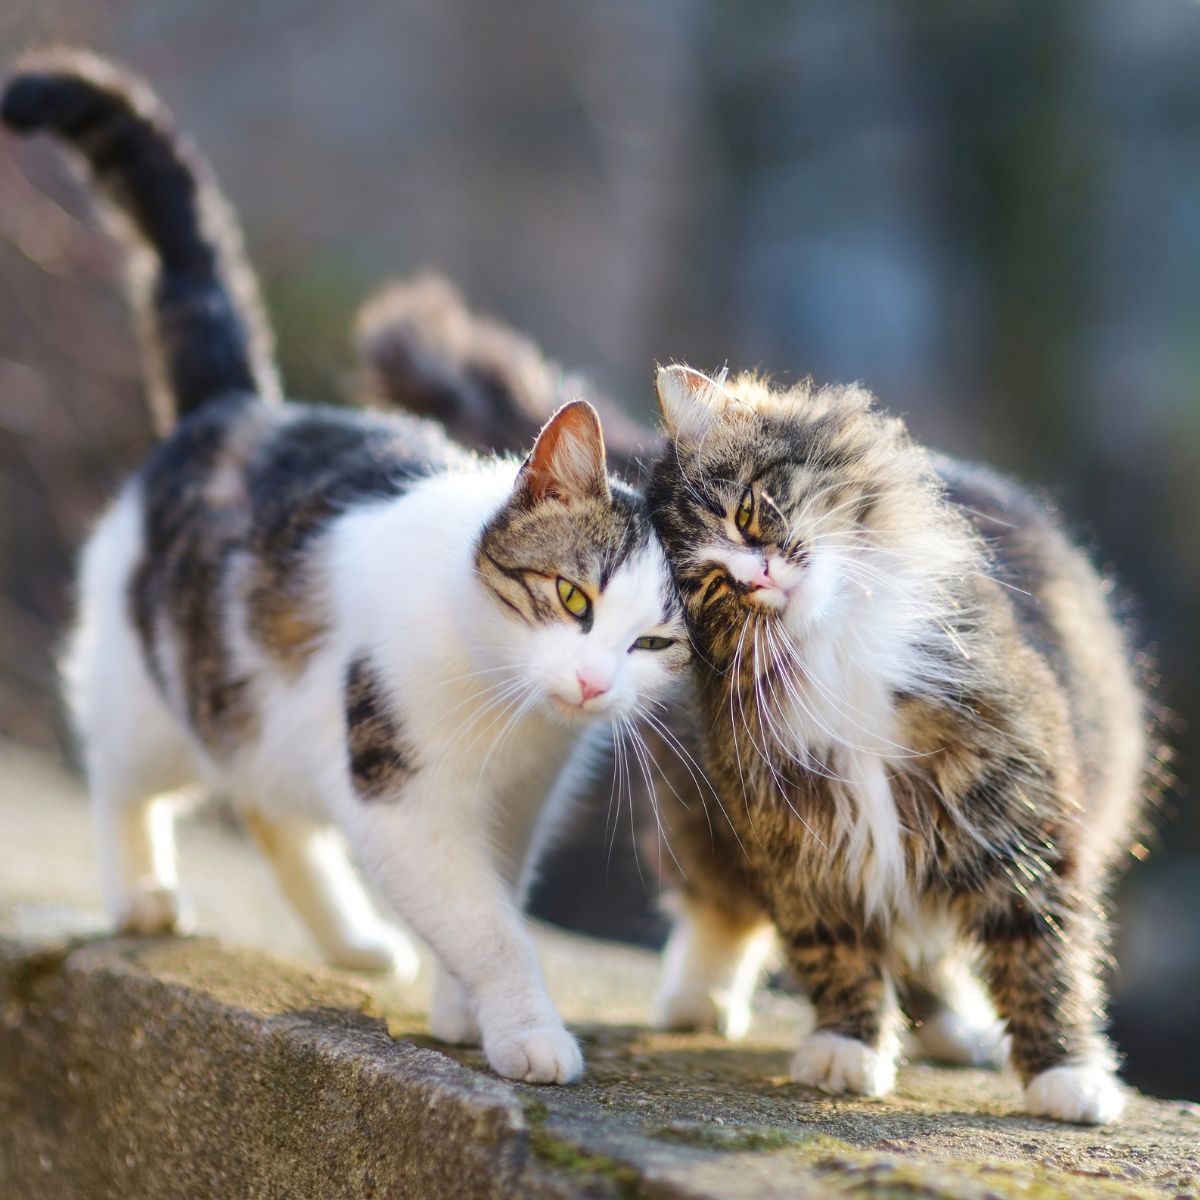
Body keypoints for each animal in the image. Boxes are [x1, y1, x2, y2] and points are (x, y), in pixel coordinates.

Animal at [4, 49, 691, 1089]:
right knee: (123, 776)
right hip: (152, 688)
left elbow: (490, 901)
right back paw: (143, 892)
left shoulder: (516, 807)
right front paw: (528, 1031)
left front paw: (463, 1012)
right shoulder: (402, 800)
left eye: (653, 643)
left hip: (268, 715)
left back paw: (353, 940)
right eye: (573, 597)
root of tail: (241, 407)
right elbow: (489, 926)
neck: (507, 710)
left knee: (270, 806)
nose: (590, 682)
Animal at [643, 364, 1156, 1123]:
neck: (835, 653)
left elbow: (1042, 955)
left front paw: (1067, 1073)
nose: (758, 575)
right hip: (696, 810)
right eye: (710, 586)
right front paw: (848, 1048)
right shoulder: (800, 839)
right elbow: (835, 952)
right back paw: (698, 998)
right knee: (720, 908)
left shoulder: (1011, 815)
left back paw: (962, 1030)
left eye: (746, 513)